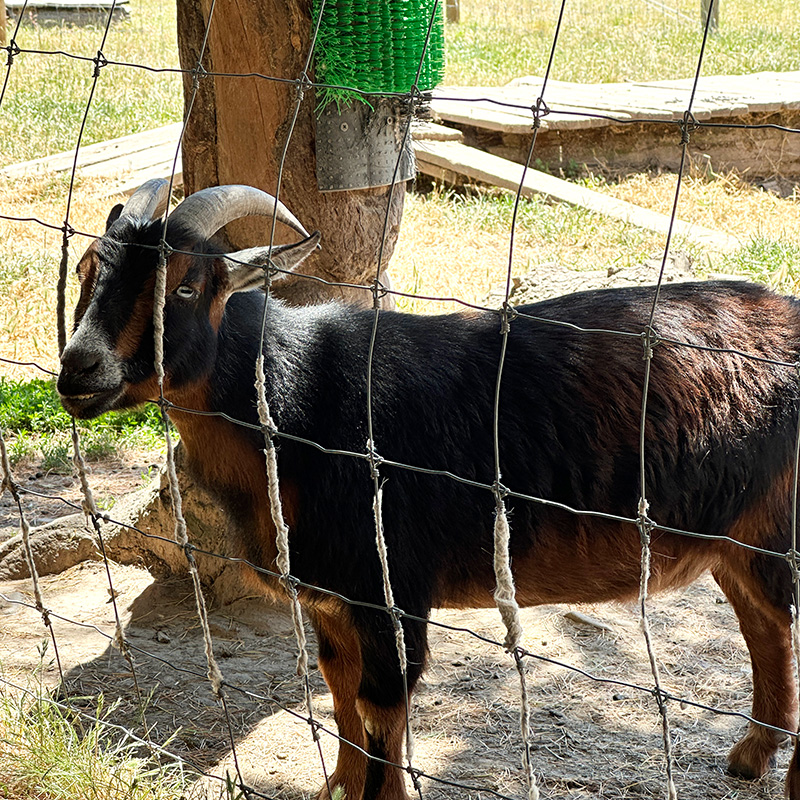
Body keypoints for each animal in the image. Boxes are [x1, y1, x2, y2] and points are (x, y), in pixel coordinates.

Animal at [58, 178, 800, 800]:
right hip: (742, 538)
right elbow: (339, 688)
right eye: (88, 270)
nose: (78, 369)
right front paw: (338, 786)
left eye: (185, 288)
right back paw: (751, 756)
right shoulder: (334, 597)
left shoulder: (393, 586)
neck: (295, 398)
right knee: (765, 626)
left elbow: (381, 704)